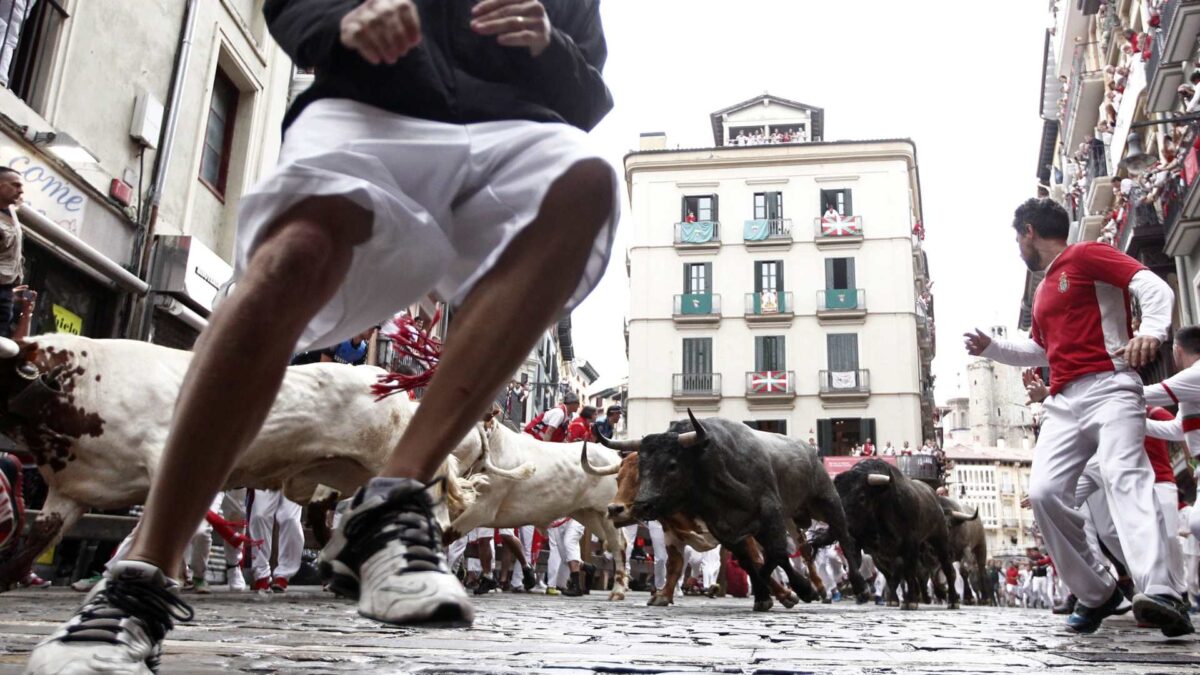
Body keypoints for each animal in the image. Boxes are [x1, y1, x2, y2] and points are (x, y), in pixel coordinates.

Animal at [444, 415, 628, 598]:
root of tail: (615, 457)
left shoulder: (482, 509)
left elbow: (447, 535)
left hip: (606, 512)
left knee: (618, 544)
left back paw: (618, 590)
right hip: (588, 514)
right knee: (612, 542)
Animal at [604, 410, 868, 610]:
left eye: (672, 465)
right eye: (642, 466)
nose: (643, 504)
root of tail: (808, 449)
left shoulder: (770, 512)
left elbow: (772, 557)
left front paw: (792, 591)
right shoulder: (726, 530)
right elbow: (751, 562)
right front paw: (768, 595)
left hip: (827, 502)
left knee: (843, 538)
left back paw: (859, 588)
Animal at [825, 456, 964, 610]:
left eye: (861, 497)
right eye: (837, 495)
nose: (837, 525)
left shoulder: (910, 544)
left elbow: (908, 572)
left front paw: (911, 601)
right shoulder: (863, 545)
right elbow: (854, 566)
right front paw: (863, 592)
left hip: (940, 540)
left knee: (947, 569)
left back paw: (952, 600)